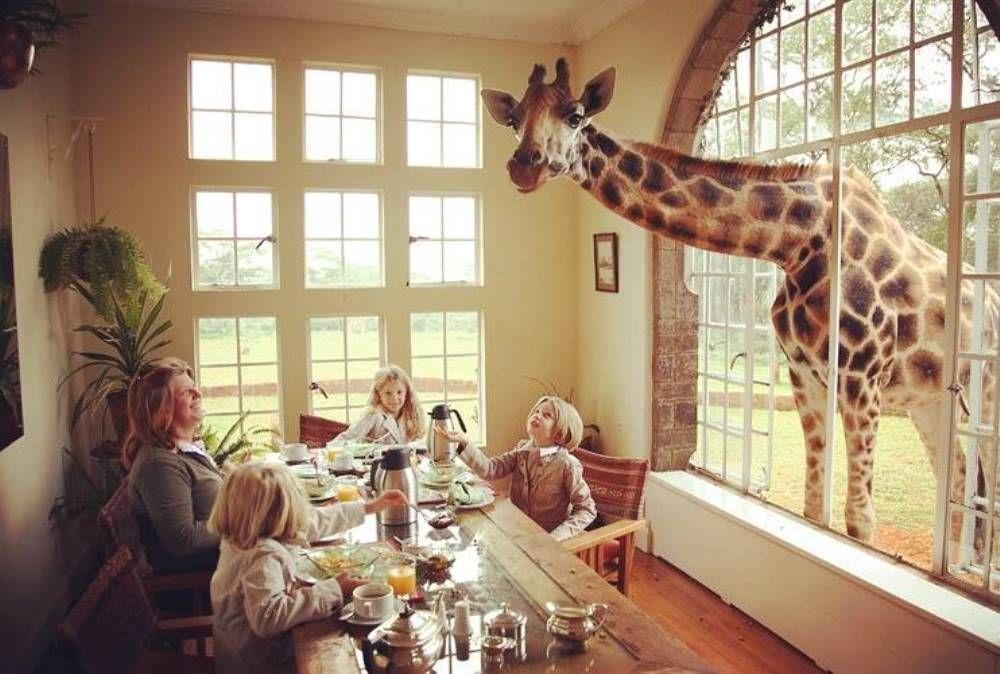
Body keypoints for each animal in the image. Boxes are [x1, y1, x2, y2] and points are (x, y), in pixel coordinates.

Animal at [482, 58, 999, 547]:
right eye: (513, 119)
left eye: (575, 115)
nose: (524, 165)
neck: (798, 243)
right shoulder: (806, 376)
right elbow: (814, 506)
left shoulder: (861, 379)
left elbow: (858, 521)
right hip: (929, 402)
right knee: (957, 489)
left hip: (984, 394)